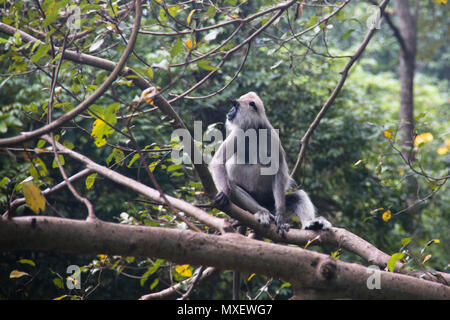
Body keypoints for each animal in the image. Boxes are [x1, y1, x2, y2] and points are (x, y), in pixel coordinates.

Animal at [210, 91, 330, 234]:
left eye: (235, 106)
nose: (229, 112)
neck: (255, 130)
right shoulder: (239, 132)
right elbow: (218, 161)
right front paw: (224, 193)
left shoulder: (271, 135)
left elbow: (279, 172)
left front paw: (280, 217)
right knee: (233, 187)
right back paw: (263, 212)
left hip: (271, 201)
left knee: (299, 196)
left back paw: (309, 223)